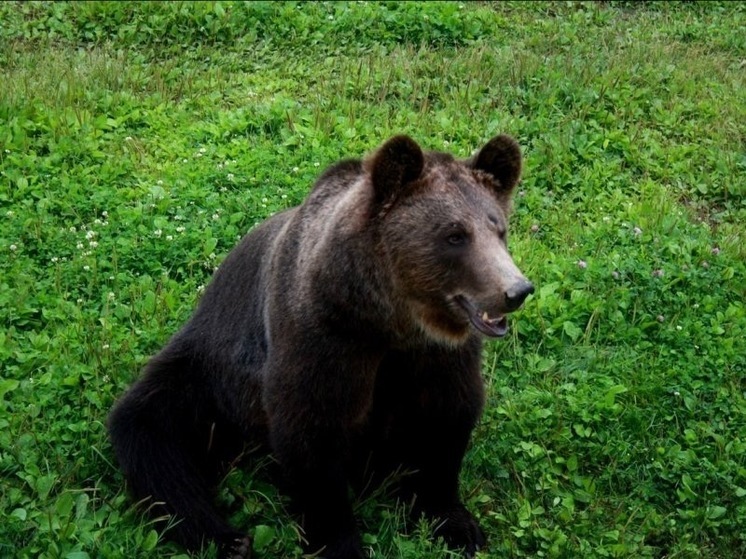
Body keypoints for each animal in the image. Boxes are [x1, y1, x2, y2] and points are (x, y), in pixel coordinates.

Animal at [107, 133, 532, 556]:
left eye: (498, 229)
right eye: (455, 235)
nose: (516, 290)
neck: (388, 320)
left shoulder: (437, 356)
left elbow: (445, 419)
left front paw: (456, 523)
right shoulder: (323, 337)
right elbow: (312, 434)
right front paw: (339, 542)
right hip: (205, 375)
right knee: (154, 433)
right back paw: (227, 539)